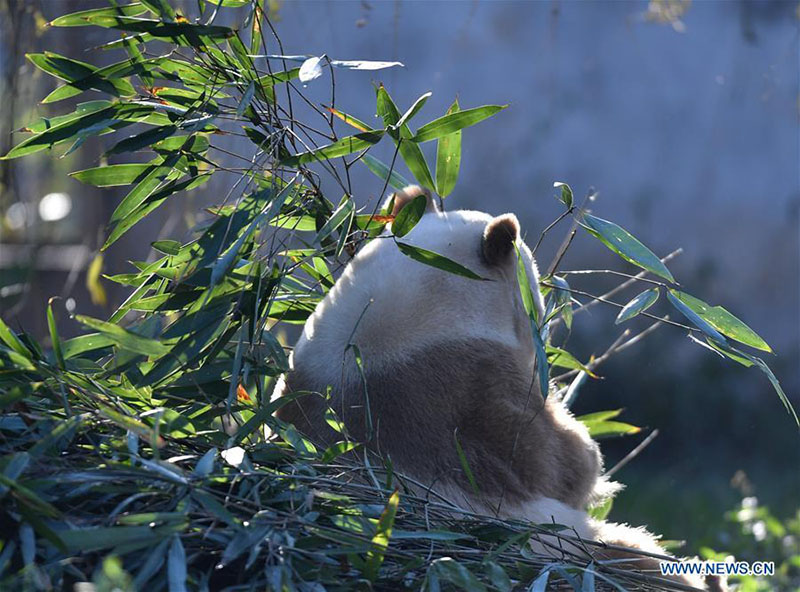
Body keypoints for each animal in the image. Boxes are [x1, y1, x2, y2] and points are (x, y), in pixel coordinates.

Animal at [274, 186, 724, 592]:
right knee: (632, 558)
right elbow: (561, 463)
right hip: (558, 545)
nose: (547, 342)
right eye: (536, 300)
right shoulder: (477, 389)